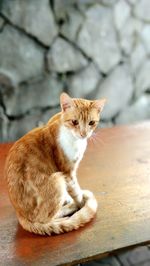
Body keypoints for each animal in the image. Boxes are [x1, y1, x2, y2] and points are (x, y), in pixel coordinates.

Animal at [4, 92, 105, 235]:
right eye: (75, 122)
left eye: (91, 123)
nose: (83, 134)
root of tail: (20, 214)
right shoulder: (67, 172)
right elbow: (76, 191)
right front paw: (80, 203)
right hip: (57, 180)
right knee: (47, 219)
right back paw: (70, 208)